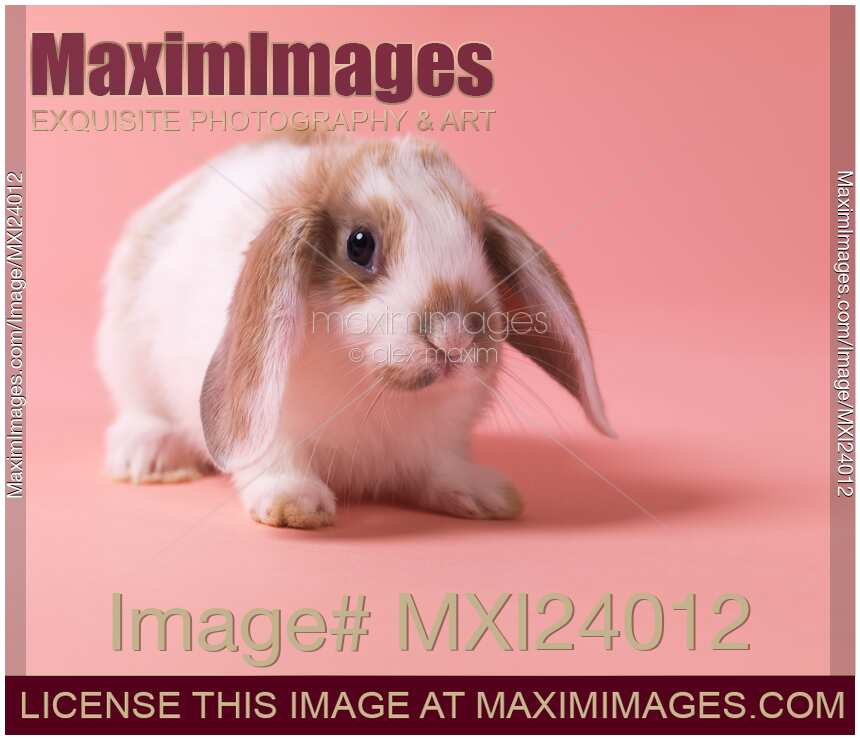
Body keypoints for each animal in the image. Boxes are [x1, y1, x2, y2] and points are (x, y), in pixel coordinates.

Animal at [96, 134, 614, 528]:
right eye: (359, 245)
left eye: (484, 248)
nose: (455, 336)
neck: (370, 388)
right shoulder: (274, 429)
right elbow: (275, 462)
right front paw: (296, 505)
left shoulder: (439, 441)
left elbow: (440, 469)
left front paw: (483, 493)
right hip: (126, 359)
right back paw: (147, 455)